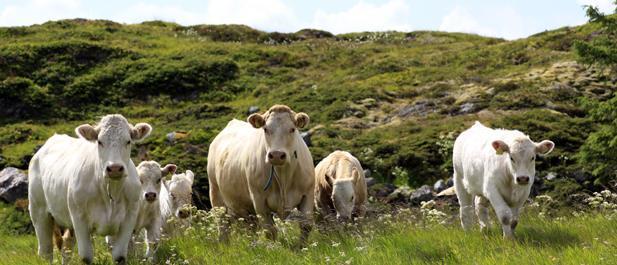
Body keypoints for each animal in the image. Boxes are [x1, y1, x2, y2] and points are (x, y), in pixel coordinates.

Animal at [28, 113, 154, 262]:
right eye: (99, 142)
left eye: (128, 141)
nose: (115, 168)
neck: (110, 193)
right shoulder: (79, 219)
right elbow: (86, 257)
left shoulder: (129, 219)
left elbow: (120, 256)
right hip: (39, 212)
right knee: (45, 252)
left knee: (66, 246)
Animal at [208, 103, 316, 243]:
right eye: (265, 129)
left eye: (292, 129)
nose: (276, 155)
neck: (284, 177)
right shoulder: (259, 199)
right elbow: (270, 231)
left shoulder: (308, 194)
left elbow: (306, 225)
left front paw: (301, 246)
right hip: (216, 196)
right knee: (223, 226)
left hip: (245, 208)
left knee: (250, 228)